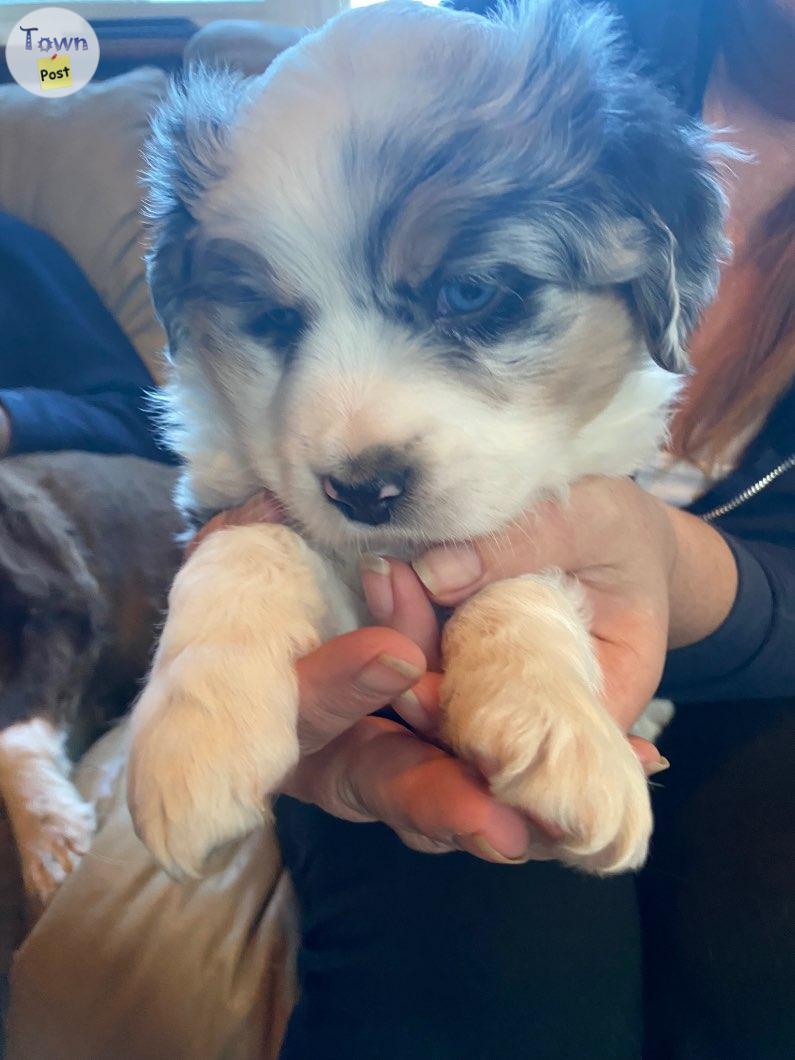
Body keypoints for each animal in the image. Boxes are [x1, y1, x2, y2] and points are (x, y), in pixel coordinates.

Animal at [129, 0, 729, 877]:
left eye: (470, 292)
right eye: (271, 319)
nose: (362, 489)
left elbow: (519, 566)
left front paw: (560, 730)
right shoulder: (240, 500)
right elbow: (246, 544)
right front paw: (196, 735)